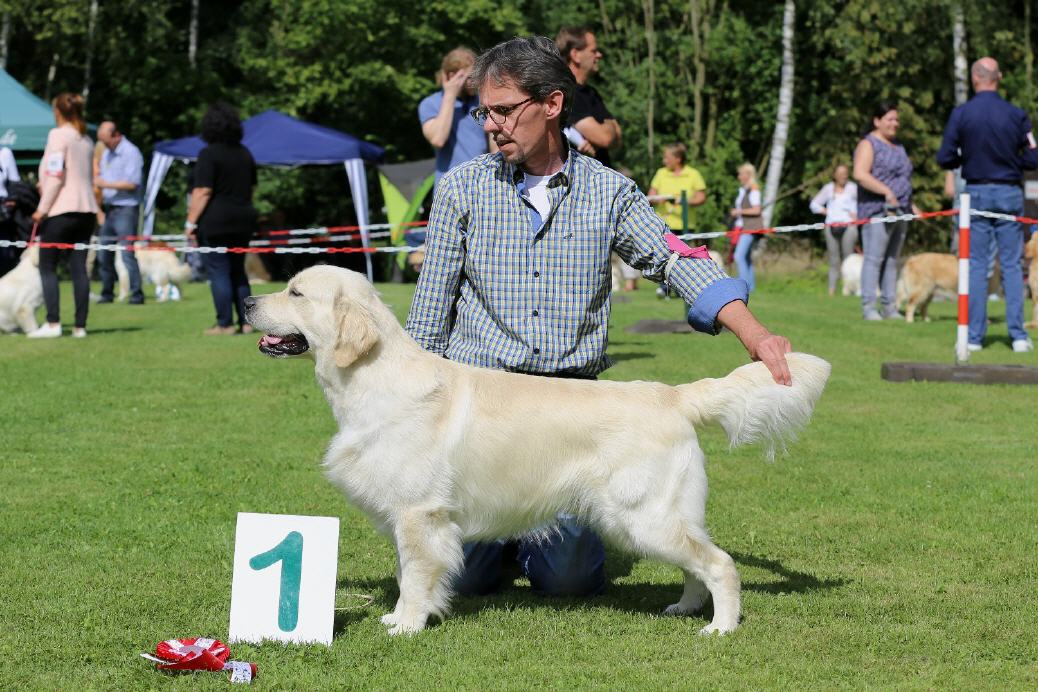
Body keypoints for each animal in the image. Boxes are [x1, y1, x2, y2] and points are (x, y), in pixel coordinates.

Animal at [247, 267, 830, 639]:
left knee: (720, 564)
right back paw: (685, 608)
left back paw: (720, 627)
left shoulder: (419, 514)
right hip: (657, 516)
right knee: (696, 563)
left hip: (642, 514)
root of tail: (673, 395)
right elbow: (411, 573)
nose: (248, 303)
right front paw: (402, 617)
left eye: (295, 292)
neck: (372, 377)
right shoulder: (411, 517)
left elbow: (414, 575)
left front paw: (407, 625)